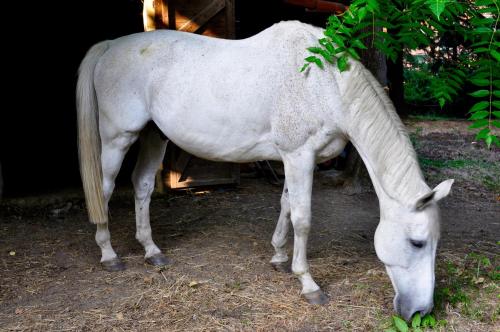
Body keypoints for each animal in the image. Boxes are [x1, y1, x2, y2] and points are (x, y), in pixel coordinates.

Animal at [77, 21, 454, 322]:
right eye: (417, 243)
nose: (421, 312)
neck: (324, 83)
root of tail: (110, 46)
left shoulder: (295, 159)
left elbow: (286, 205)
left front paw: (278, 257)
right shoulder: (299, 156)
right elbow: (303, 218)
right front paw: (308, 283)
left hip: (154, 136)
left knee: (141, 186)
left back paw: (152, 251)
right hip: (118, 137)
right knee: (105, 190)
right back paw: (109, 255)